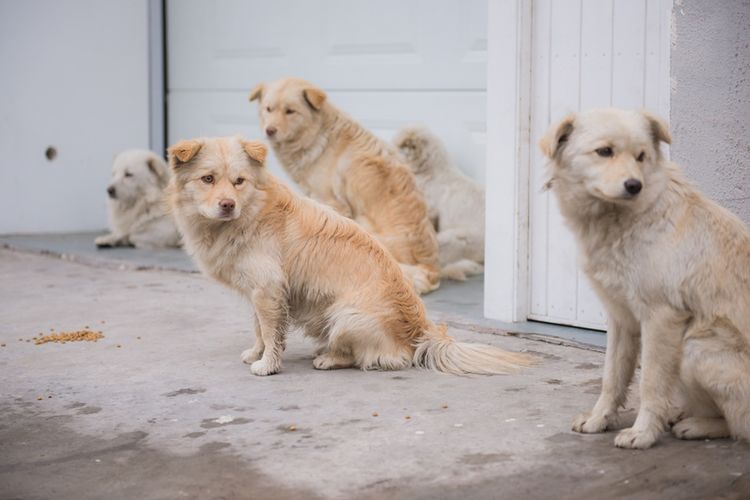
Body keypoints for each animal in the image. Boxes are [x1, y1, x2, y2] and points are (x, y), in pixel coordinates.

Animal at [250, 76, 444, 294]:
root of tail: (431, 269)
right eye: (268, 109)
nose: (269, 131)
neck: (318, 137)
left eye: (290, 111)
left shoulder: (331, 202)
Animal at [544, 106, 748, 450]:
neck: (625, 219)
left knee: (739, 427)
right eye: (605, 151)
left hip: (697, 348)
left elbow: (650, 383)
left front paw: (643, 432)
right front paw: (599, 418)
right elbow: (612, 377)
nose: (633, 185)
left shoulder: (660, 317)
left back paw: (694, 425)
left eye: (641, 157)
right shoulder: (621, 318)